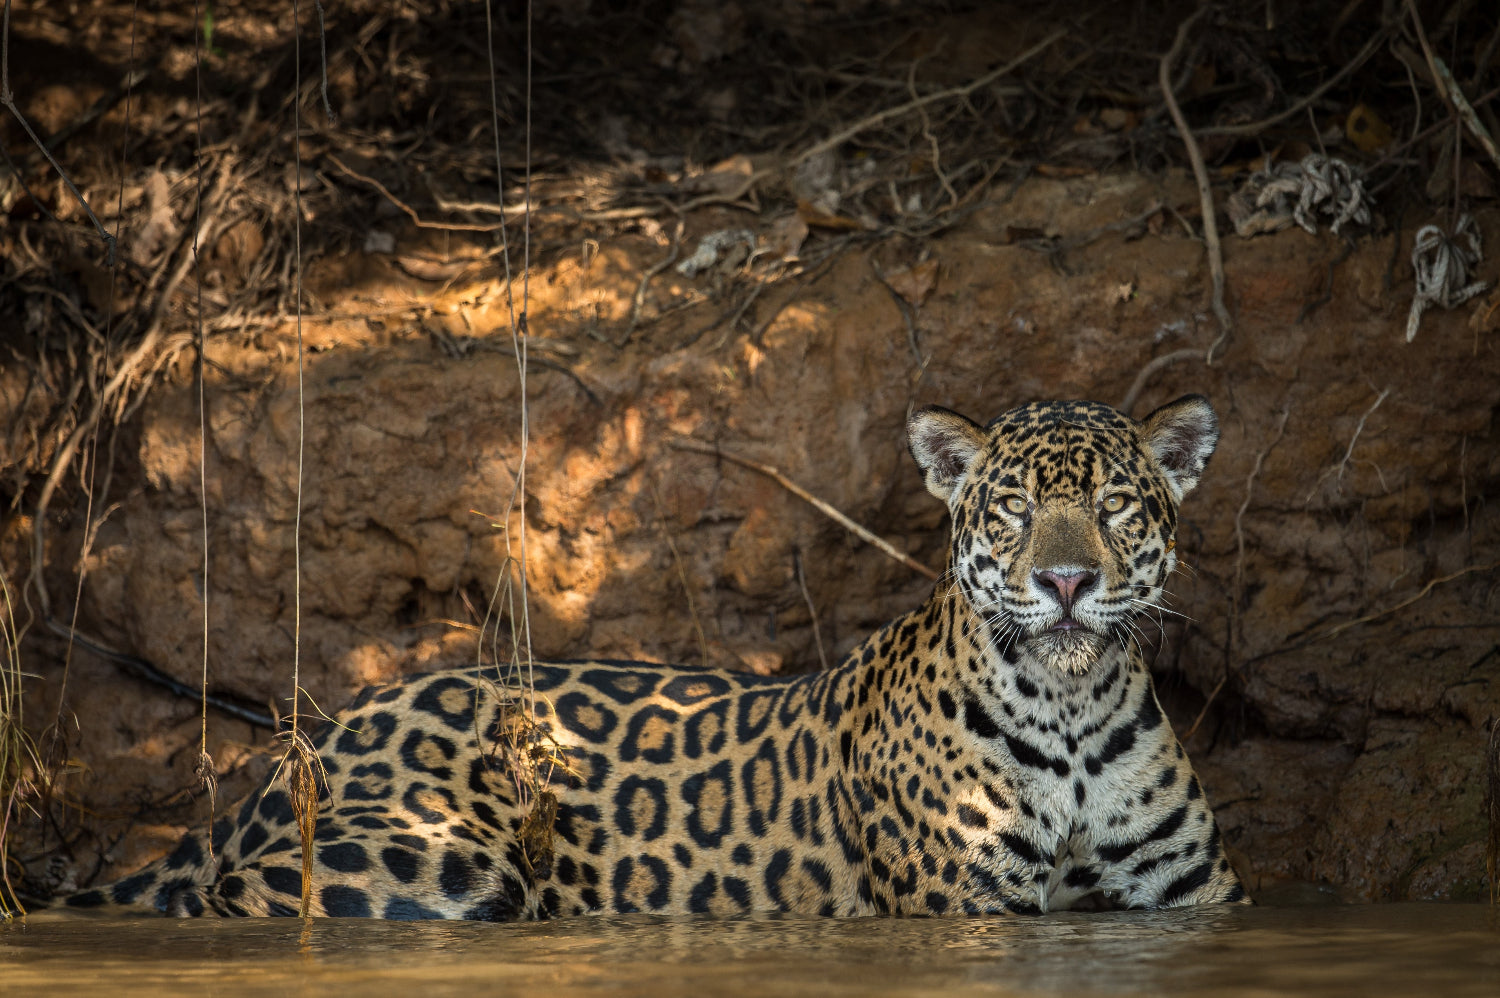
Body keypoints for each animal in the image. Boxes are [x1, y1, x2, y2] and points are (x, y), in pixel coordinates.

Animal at [51, 394, 1247, 919]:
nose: (1066, 581)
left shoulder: (1198, 898)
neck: (1073, 719)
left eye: (1115, 506)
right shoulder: (961, 904)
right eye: (1011, 511)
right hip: (435, 856)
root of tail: (319, 738)